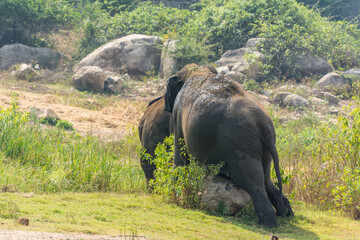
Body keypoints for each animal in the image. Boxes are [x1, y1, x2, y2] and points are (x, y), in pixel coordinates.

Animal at [165, 63, 294, 227]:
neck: (197, 71)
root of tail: (263, 124)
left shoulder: (178, 113)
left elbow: (180, 158)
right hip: (261, 147)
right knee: (265, 179)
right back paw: (287, 214)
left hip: (240, 142)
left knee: (251, 181)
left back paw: (267, 224)